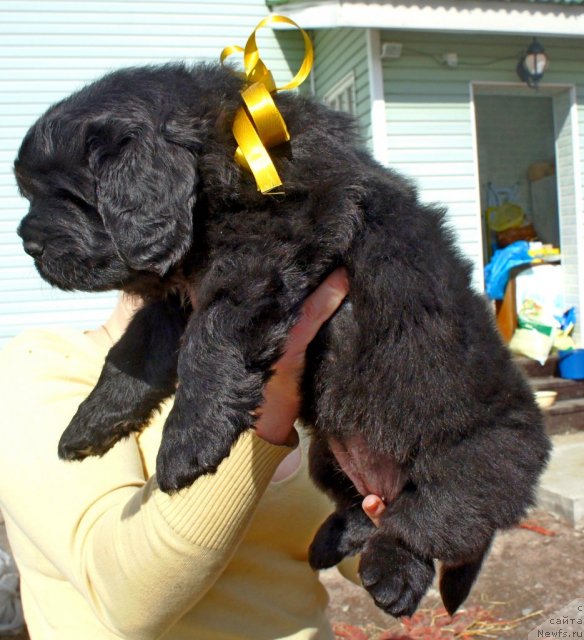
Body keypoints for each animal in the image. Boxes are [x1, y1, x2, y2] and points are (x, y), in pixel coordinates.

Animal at [14, 62, 552, 616]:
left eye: (72, 195)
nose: (27, 244)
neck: (224, 158)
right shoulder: (176, 299)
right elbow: (132, 354)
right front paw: (90, 422)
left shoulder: (260, 259)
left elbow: (209, 343)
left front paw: (187, 441)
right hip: (327, 458)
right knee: (366, 509)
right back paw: (331, 541)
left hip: (477, 457)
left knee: (433, 518)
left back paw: (393, 575)